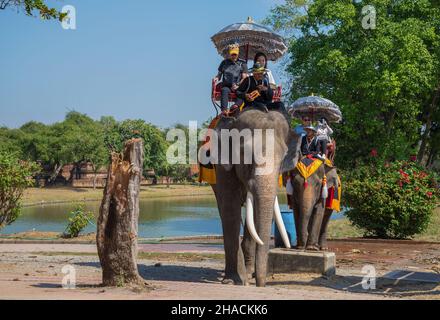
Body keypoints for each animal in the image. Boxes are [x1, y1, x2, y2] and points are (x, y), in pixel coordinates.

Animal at [206, 107, 302, 288]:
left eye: (283, 158)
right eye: (246, 155)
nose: (260, 285)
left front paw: (248, 276)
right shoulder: (222, 166)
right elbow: (230, 207)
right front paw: (234, 280)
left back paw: (249, 271)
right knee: (224, 209)